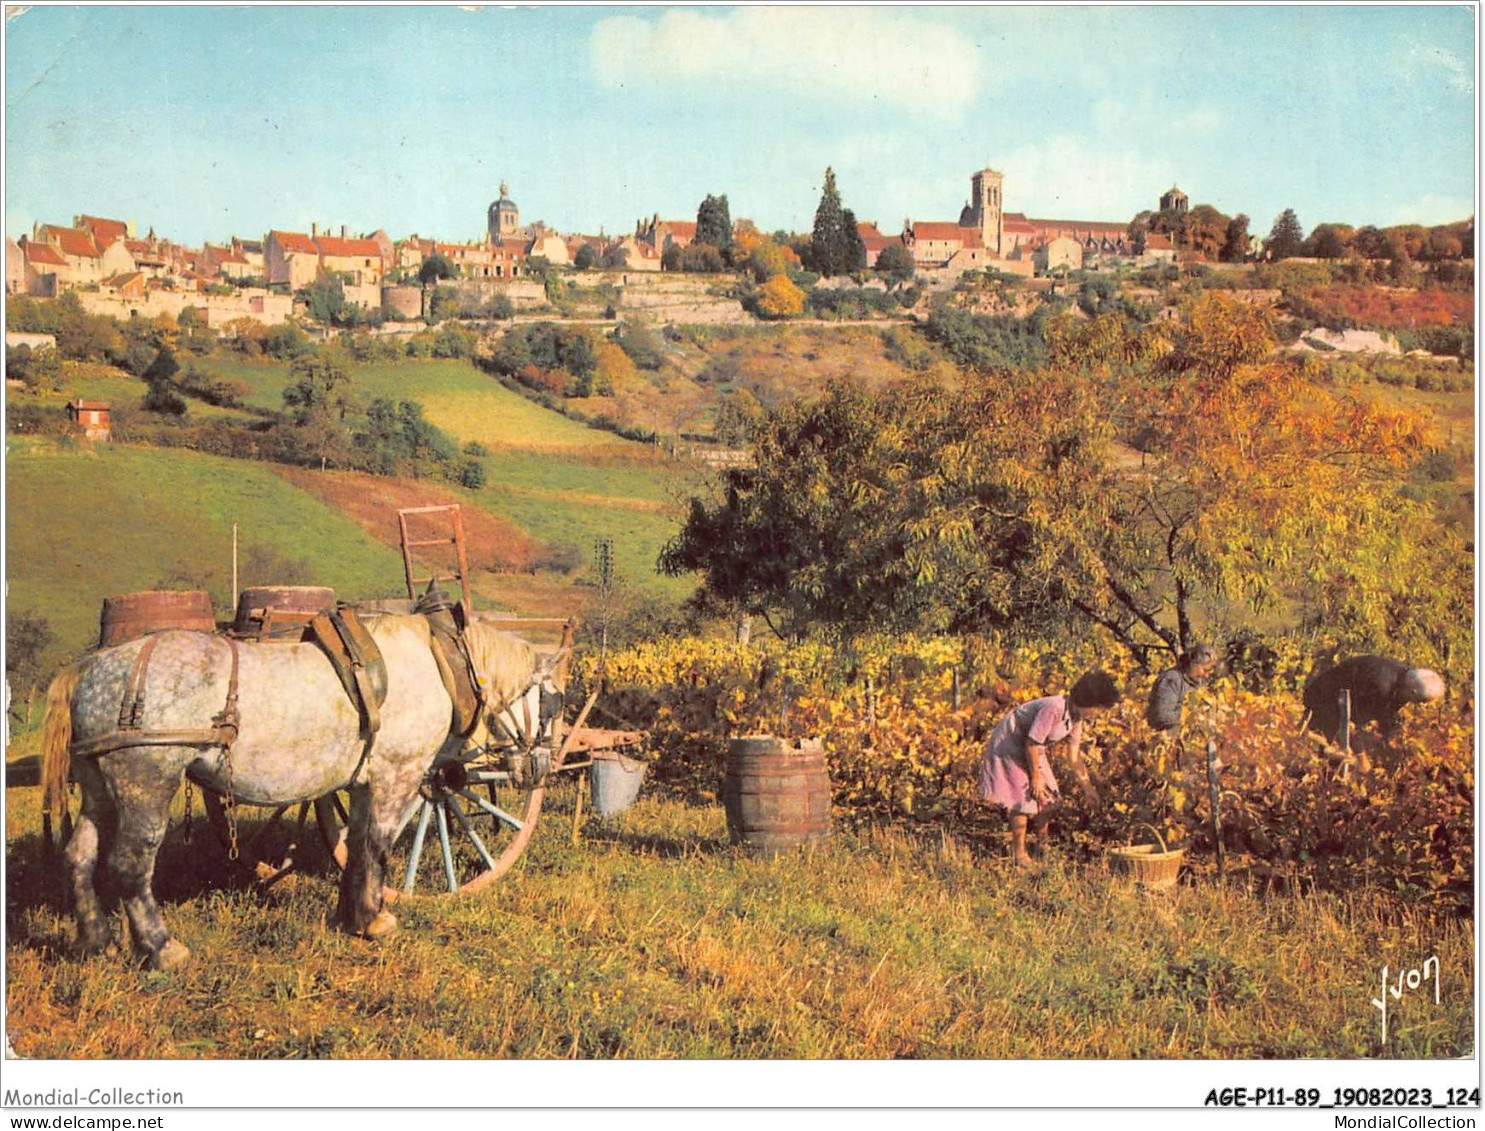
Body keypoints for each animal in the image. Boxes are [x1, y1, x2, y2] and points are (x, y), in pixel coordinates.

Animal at [44, 611, 567, 967]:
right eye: (553, 702)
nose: (540, 768)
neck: (439, 662)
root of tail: (88, 670)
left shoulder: (364, 783)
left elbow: (357, 846)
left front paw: (350, 915)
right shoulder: (399, 776)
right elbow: (378, 846)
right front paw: (375, 919)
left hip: (98, 788)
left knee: (79, 856)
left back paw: (97, 941)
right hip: (146, 783)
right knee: (130, 865)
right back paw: (161, 947)